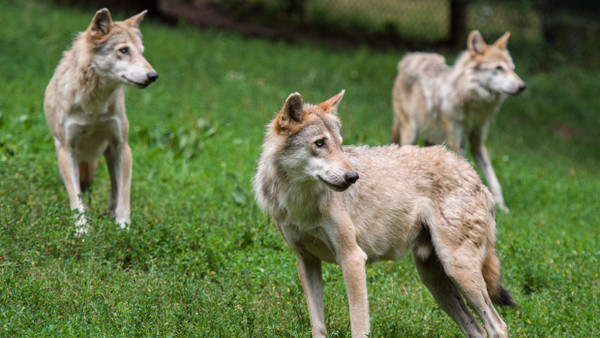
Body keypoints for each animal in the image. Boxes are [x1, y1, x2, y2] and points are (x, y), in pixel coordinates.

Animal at [44, 8, 158, 235]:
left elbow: (124, 197)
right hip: (62, 154)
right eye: (124, 50)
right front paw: (82, 232)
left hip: (111, 154)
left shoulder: (122, 147)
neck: (93, 104)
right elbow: (76, 200)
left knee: (114, 189)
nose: (153, 75)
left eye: (142, 52)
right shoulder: (67, 150)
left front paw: (123, 228)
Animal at [253, 90, 516, 338]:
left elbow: (359, 327)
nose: (353, 177)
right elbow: (318, 327)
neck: (300, 201)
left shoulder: (352, 259)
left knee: (498, 326)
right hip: (434, 280)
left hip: (457, 270)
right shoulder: (306, 261)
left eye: (340, 144)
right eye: (320, 143)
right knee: (477, 330)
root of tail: (474, 175)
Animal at [390, 30, 524, 213]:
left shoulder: (478, 144)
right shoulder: (457, 143)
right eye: (498, 68)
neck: (473, 105)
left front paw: (502, 208)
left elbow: (494, 180)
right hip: (411, 133)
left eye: (512, 69)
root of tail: (409, 57)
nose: (522, 86)